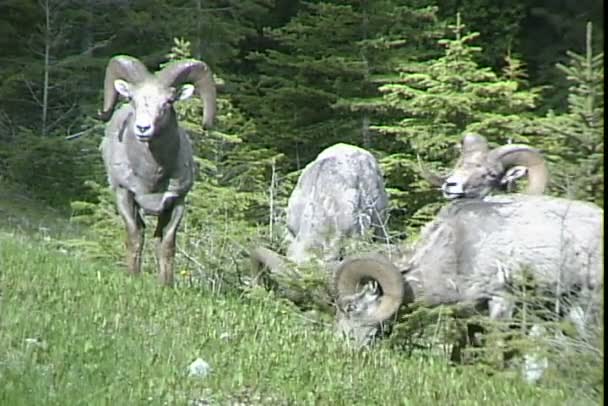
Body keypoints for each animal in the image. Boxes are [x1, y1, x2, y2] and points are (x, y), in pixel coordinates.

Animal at [98, 54, 216, 286]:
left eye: (168, 102)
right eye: (132, 99)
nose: (143, 128)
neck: (151, 177)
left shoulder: (176, 202)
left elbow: (167, 244)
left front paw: (166, 285)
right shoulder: (124, 194)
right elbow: (134, 237)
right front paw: (132, 278)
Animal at [334, 193, 604, 380]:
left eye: (351, 308)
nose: (340, 346)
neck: (456, 248)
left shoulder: (502, 301)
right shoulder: (470, 313)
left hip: (587, 303)